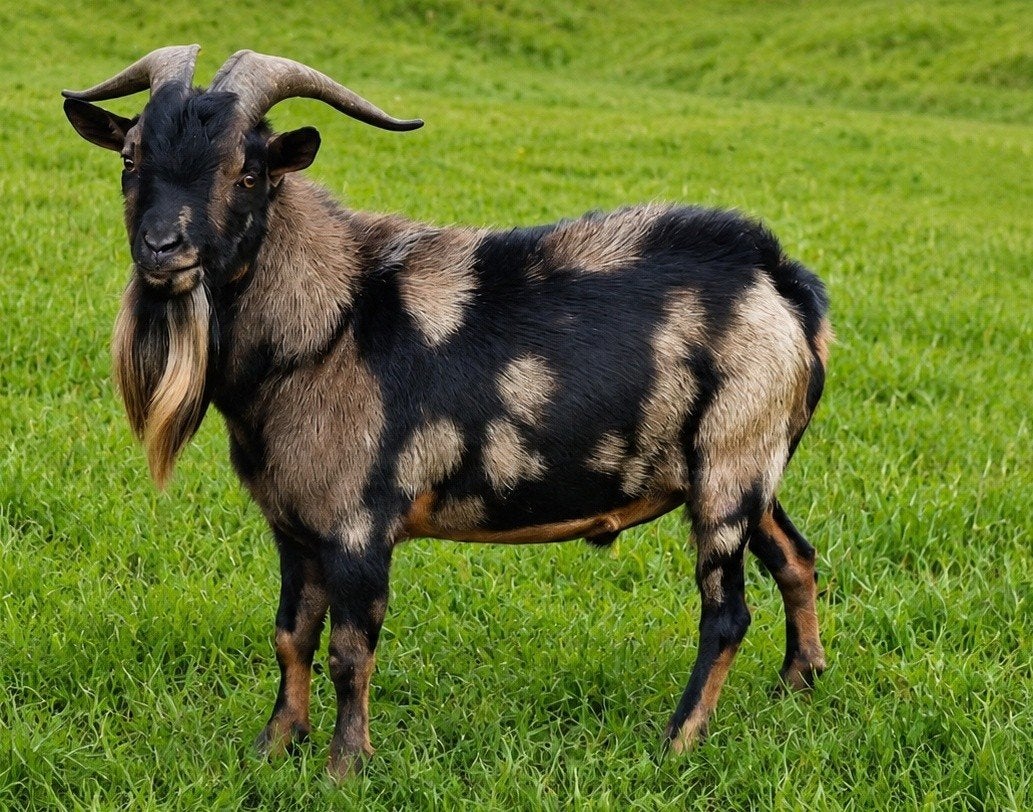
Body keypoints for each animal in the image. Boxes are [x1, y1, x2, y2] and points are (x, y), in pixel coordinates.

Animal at [63, 45, 831, 778]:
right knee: (795, 556)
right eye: (130, 158)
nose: (164, 250)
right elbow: (290, 636)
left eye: (247, 173)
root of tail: (781, 281)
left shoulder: (358, 525)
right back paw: (798, 683)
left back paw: (678, 740)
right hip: (749, 464)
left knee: (726, 612)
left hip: (728, 462)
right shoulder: (293, 525)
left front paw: (344, 767)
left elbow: (349, 651)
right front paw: (273, 746)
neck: (333, 320)